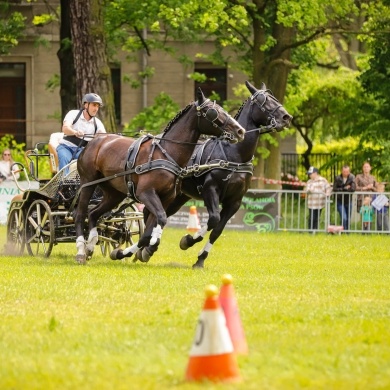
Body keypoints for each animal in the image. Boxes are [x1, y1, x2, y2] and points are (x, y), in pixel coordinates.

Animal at [74, 88, 244, 266]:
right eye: (212, 111)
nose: (240, 131)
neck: (167, 153)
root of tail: (94, 141)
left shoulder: (166, 198)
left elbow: (149, 231)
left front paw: (132, 251)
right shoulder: (146, 194)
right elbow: (161, 218)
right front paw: (150, 246)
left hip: (114, 193)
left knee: (93, 214)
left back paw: (90, 246)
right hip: (88, 183)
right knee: (80, 214)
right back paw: (80, 251)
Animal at [161, 80, 292, 268]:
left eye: (274, 98)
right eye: (264, 101)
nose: (287, 118)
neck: (234, 154)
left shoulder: (234, 201)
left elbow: (217, 230)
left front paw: (200, 259)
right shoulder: (210, 190)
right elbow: (213, 220)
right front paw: (188, 240)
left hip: (179, 196)